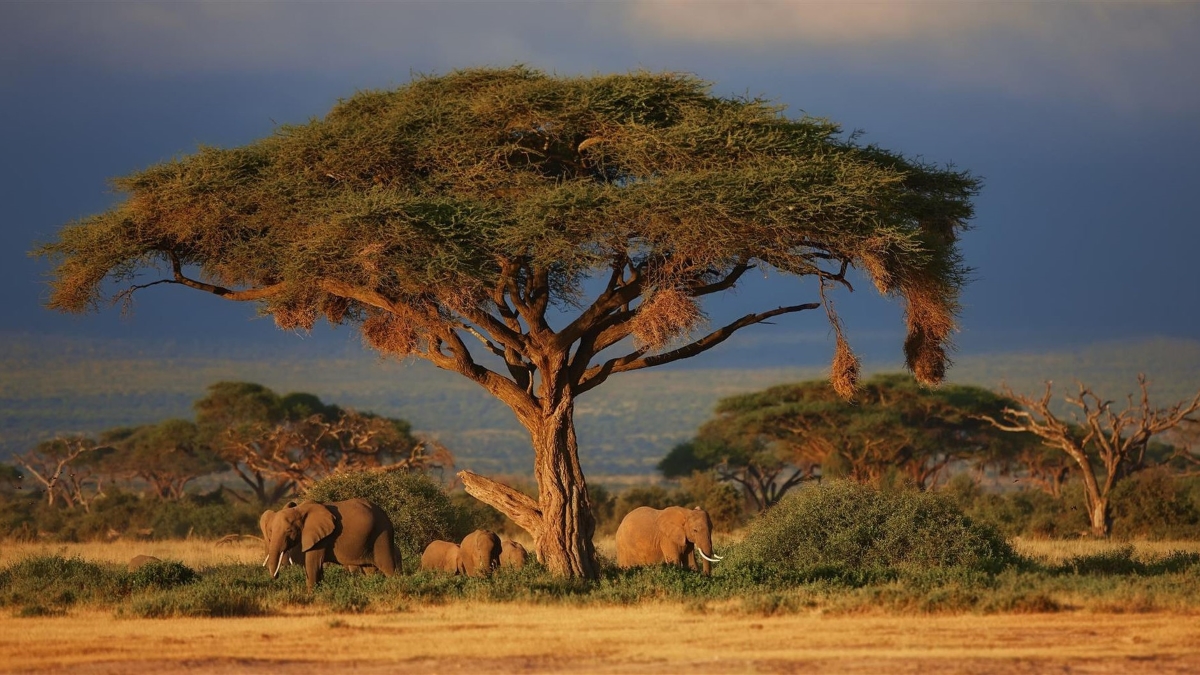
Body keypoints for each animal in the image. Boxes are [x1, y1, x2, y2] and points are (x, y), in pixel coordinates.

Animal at [262, 494, 398, 588]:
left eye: (289, 531)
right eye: (270, 531)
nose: (276, 577)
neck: (300, 509)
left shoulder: (321, 537)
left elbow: (313, 565)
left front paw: (311, 595)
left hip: (381, 534)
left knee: (389, 568)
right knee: (369, 570)